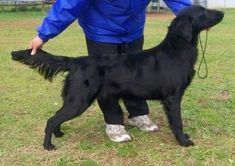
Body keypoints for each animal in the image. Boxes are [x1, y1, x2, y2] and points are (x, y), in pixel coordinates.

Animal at [11, 5, 224, 150]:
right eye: (203, 11)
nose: (222, 13)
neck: (176, 50)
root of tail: (77, 61)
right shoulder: (172, 98)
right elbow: (177, 122)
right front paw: (184, 141)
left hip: (74, 100)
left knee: (56, 118)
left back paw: (59, 134)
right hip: (79, 100)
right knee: (51, 119)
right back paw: (48, 145)